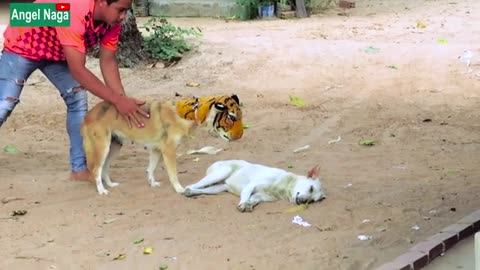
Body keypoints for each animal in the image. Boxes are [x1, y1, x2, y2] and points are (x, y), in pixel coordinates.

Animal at [81, 94, 244, 194]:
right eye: (231, 117)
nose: (240, 136)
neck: (188, 114)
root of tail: (87, 116)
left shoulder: (156, 150)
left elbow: (150, 169)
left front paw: (152, 184)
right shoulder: (168, 150)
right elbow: (173, 174)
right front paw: (179, 189)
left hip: (114, 147)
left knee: (104, 169)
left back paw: (110, 185)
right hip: (103, 148)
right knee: (96, 170)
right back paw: (102, 190)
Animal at [184, 159, 326, 212]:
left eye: (312, 201)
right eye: (311, 188)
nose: (304, 202)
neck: (284, 187)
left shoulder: (260, 196)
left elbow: (253, 200)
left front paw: (248, 205)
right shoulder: (251, 185)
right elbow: (246, 196)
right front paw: (243, 204)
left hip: (218, 188)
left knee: (201, 189)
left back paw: (191, 192)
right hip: (222, 172)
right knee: (193, 185)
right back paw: (186, 190)